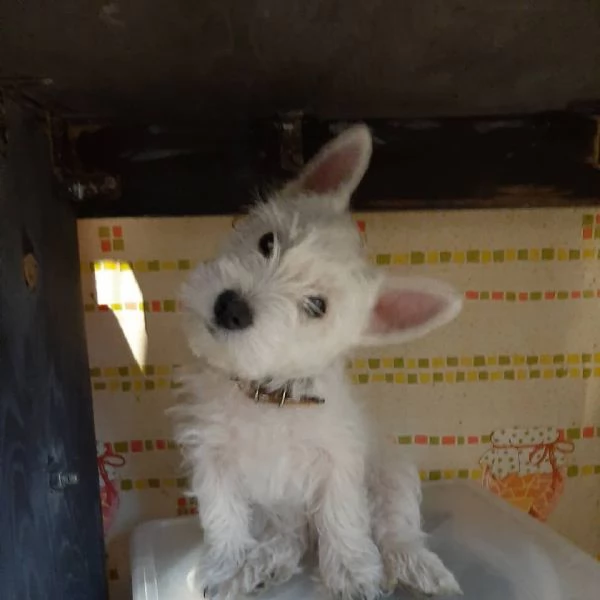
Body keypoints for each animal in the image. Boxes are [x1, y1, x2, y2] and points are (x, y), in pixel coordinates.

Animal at [171, 124, 462, 596]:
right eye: (267, 242)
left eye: (316, 306)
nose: (231, 307)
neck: (268, 395)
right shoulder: (213, 458)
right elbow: (222, 517)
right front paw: (227, 568)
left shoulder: (336, 462)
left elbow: (342, 519)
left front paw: (353, 575)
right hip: (280, 515)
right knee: (289, 536)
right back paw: (265, 562)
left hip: (392, 473)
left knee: (395, 527)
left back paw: (419, 567)